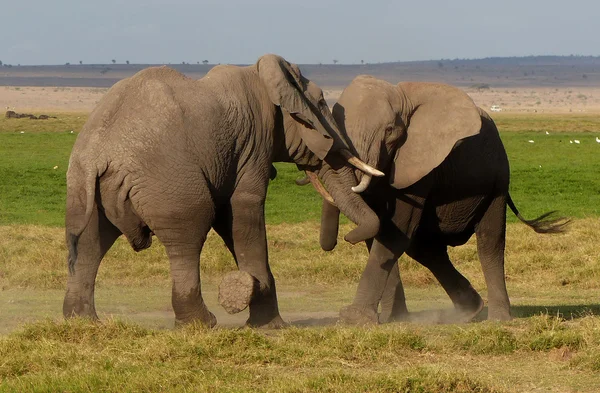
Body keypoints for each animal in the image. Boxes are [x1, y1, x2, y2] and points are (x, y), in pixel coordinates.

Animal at [63, 54, 382, 328]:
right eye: (322, 101)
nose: (347, 238)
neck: (263, 74)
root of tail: (97, 153)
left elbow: (229, 222)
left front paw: (265, 316)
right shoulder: (255, 142)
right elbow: (244, 214)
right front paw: (265, 321)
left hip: (82, 187)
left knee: (91, 242)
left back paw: (83, 321)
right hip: (166, 182)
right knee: (188, 234)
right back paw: (200, 323)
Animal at [314, 76, 568, 324]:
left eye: (389, 130)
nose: (343, 239)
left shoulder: (421, 164)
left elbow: (392, 234)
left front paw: (352, 319)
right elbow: (377, 229)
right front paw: (391, 319)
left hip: (497, 178)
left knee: (489, 243)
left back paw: (498, 319)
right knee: (425, 248)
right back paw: (469, 311)